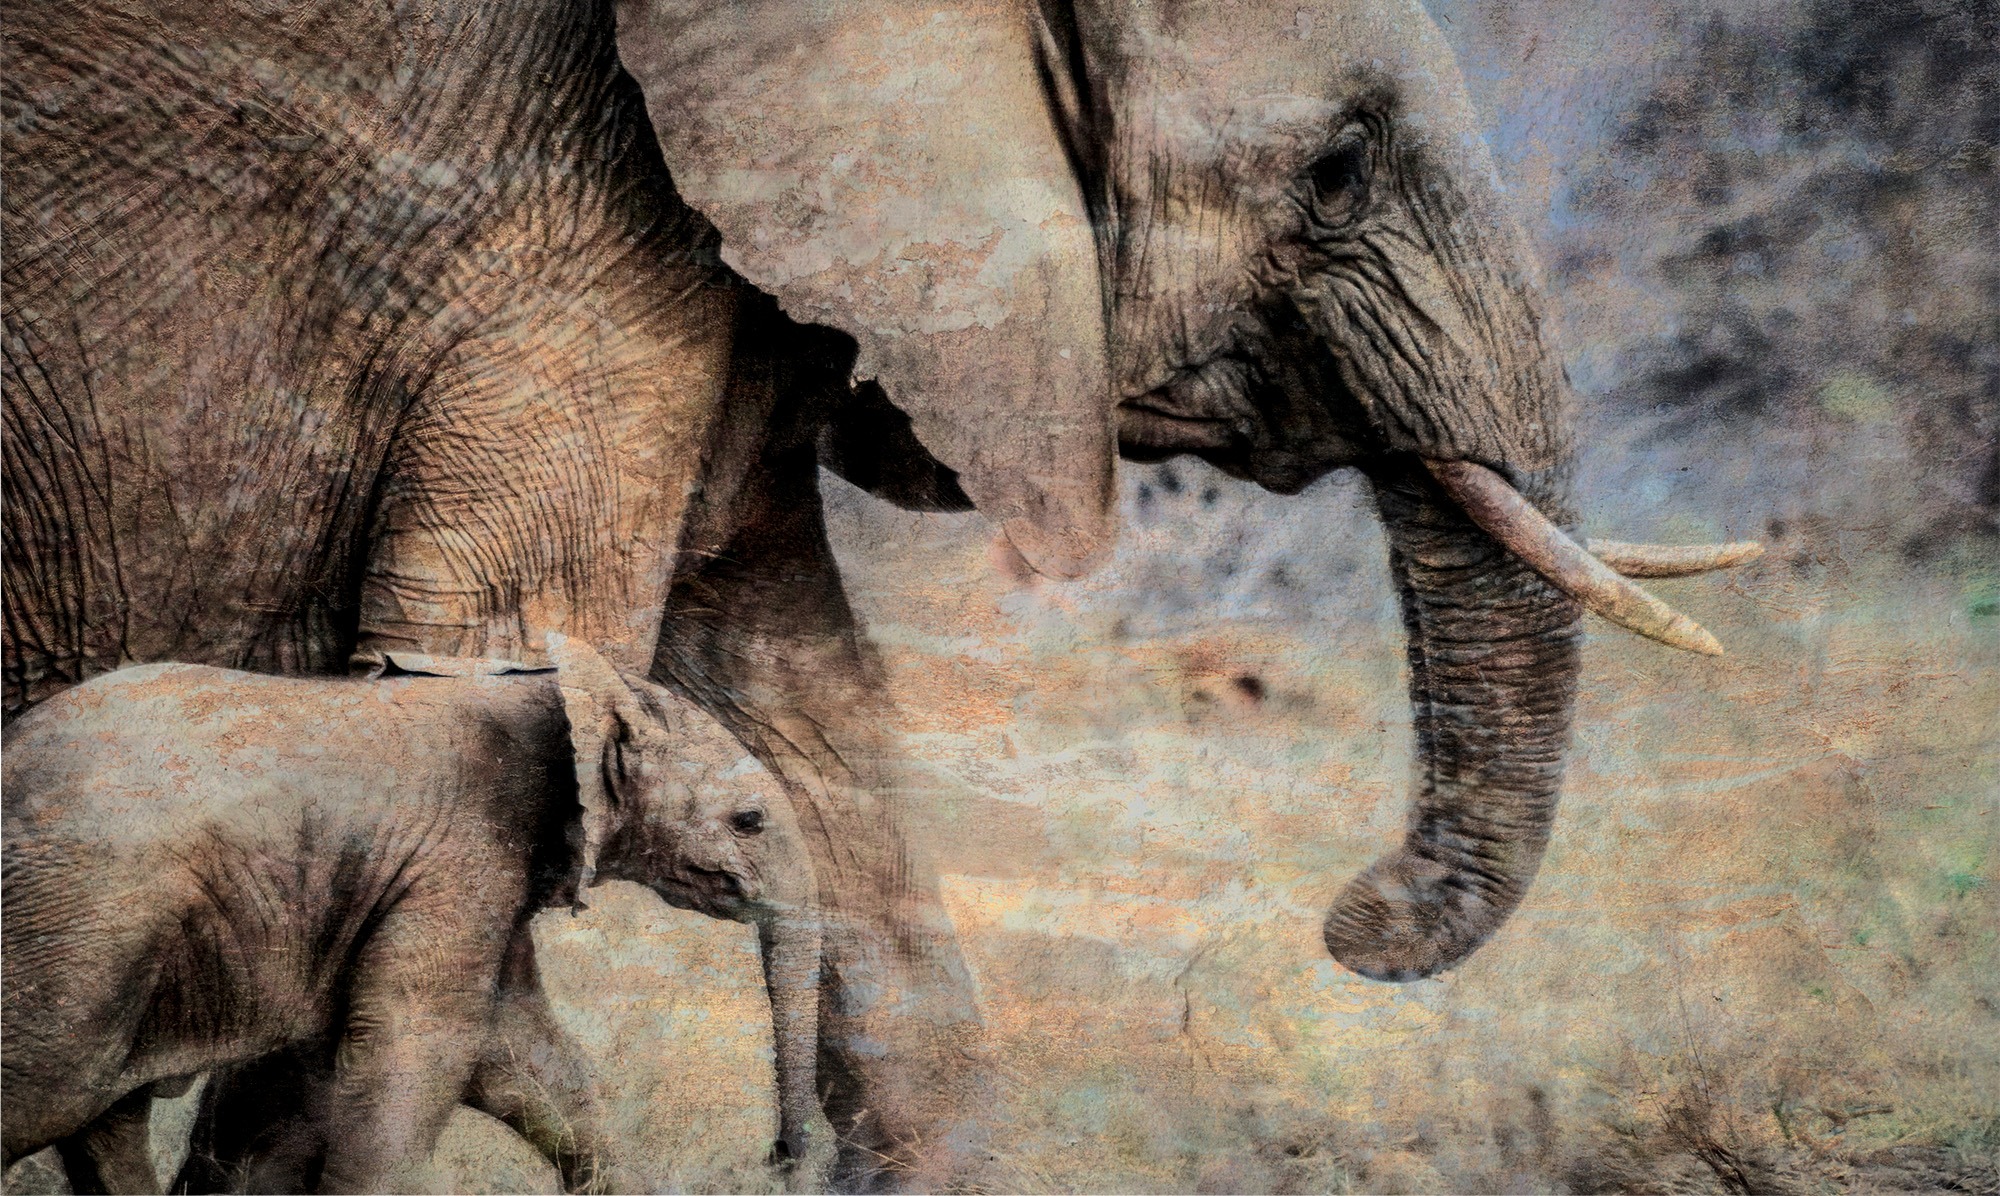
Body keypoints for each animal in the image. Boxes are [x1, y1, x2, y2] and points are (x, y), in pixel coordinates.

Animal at [0, 638, 820, 1194]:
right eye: (749, 821)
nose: (779, 1155)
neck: (564, 686)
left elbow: (521, 1058)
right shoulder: (458, 856)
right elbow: (416, 1053)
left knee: (105, 1121)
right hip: (80, 924)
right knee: (48, 1088)